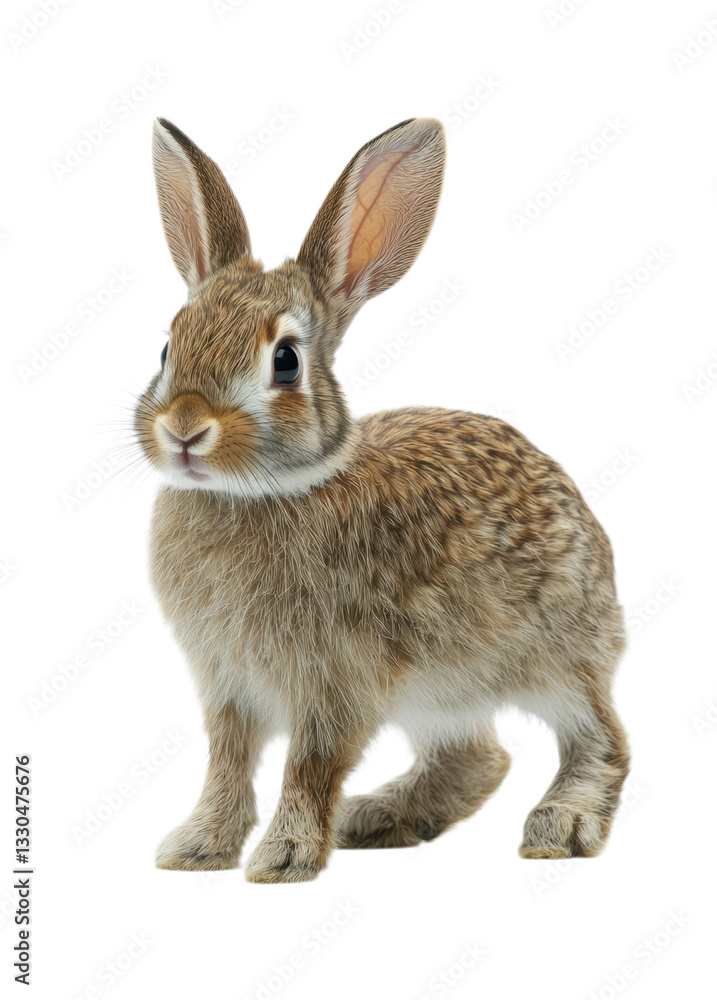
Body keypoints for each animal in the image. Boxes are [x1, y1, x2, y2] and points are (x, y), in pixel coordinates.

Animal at [135, 115, 629, 883]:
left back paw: (560, 823)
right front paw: (196, 847)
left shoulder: (338, 682)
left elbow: (308, 768)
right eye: (167, 347)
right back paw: (377, 817)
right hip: (439, 690)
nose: (184, 428)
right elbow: (227, 764)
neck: (260, 492)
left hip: (555, 657)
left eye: (285, 361)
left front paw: (282, 858)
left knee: (599, 738)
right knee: (480, 756)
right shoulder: (227, 686)